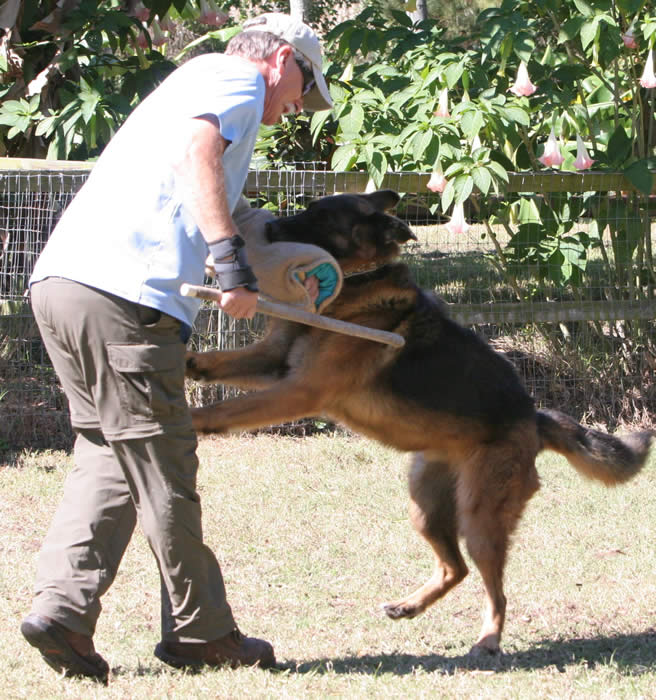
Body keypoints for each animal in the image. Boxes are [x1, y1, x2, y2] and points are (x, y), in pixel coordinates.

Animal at [187, 189, 652, 652]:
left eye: (319, 217)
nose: (266, 228)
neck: (359, 283)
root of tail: (533, 418)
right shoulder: (273, 362)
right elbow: (215, 362)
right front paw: (188, 362)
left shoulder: (298, 390)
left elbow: (226, 410)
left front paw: (193, 419)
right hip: (425, 506)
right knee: (455, 568)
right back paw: (409, 606)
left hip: (480, 518)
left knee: (495, 588)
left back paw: (487, 639)